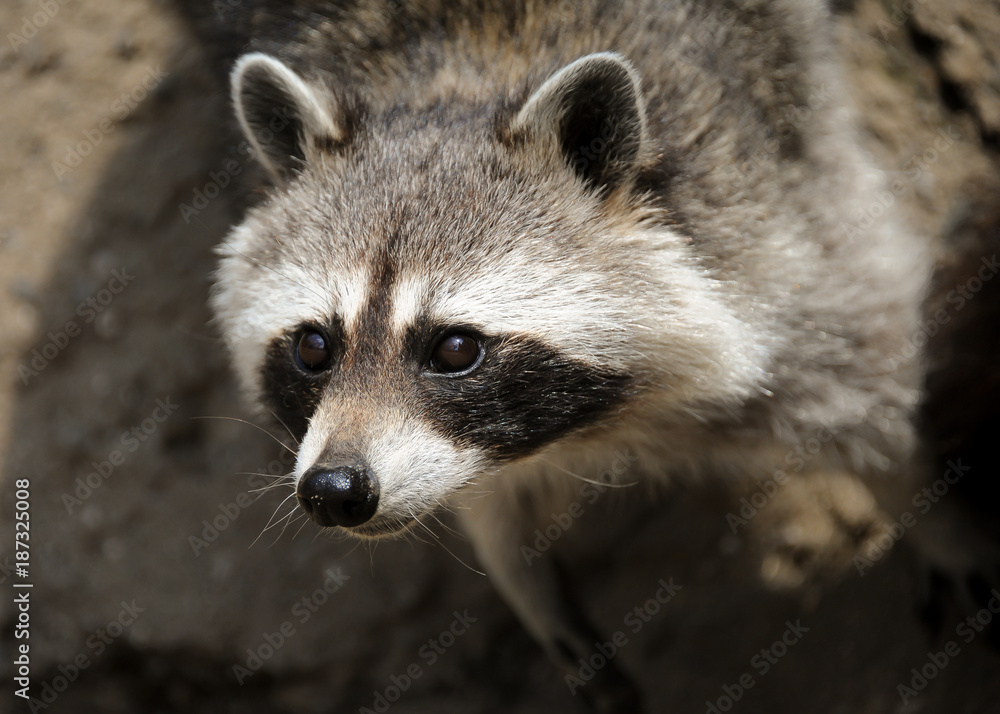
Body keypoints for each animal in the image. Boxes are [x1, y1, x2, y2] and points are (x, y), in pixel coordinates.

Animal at [174, 0, 936, 708]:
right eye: (314, 347)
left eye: (455, 348)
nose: (334, 489)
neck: (461, 75)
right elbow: (489, 500)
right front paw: (523, 578)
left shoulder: (776, 207)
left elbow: (863, 360)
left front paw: (934, 520)